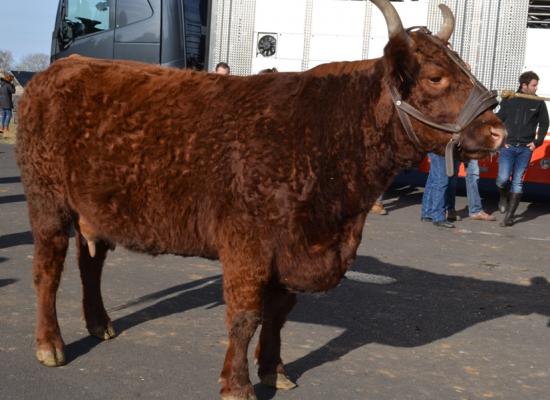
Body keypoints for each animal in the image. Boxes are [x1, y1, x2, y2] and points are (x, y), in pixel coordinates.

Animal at [15, 0, 506, 400]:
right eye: (436, 77)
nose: (498, 131)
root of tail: (60, 69)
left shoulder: (291, 248)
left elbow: (279, 314)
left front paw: (274, 370)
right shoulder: (247, 246)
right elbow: (245, 317)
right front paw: (237, 384)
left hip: (94, 210)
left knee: (90, 264)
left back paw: (99, 324)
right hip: (47, 203)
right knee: (48, 271)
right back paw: (50, 345)